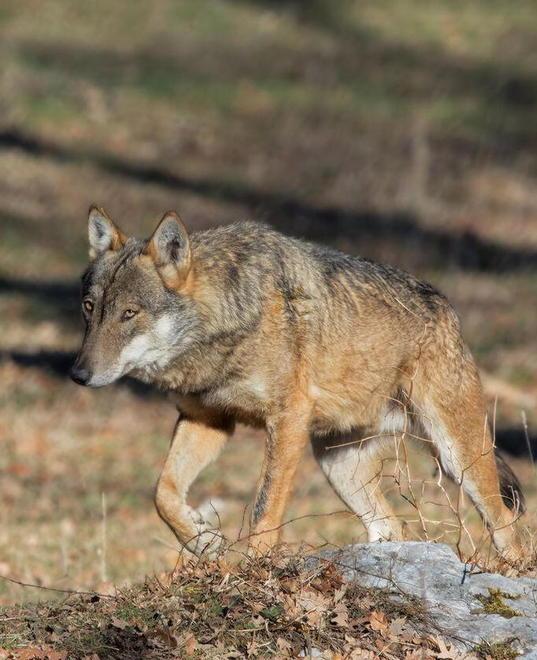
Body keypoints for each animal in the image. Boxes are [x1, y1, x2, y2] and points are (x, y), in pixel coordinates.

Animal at [71, 206, 525, 559]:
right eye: (90, 308)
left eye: (129, 313)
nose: (78, 374)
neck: (227, 321)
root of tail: (449, 309)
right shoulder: (208, 420)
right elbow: (162, 492)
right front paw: (204, 541)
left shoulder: (286, 421)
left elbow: (263, 510)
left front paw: (249, 574)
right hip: (339, 467)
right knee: (392, 528)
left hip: (457, 459)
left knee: (507, 527)